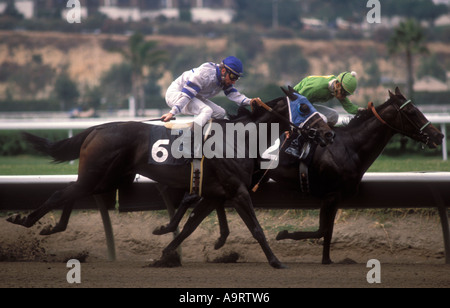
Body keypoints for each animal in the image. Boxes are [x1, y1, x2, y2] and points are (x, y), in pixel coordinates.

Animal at [5, 88, 332, 268]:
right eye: (304, 106)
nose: (329, 133)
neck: (239, 139)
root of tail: (97, 128)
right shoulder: (237, 191)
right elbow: (256, 228)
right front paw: (277, 262)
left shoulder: (214, 193)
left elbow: (188, 227)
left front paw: (164, 254)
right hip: (98, 172)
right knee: (62, 194)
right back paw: (24, 219)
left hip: (107, 178)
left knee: (73, 193)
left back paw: (52, 226)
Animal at [270, 87, 442, 264]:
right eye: (412, 111)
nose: (438, 135)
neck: (349, 146)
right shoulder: (330, 195)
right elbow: (321, 231)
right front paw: (282, 234)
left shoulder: (336, 197)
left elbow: (328, 231)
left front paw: (327, 260)